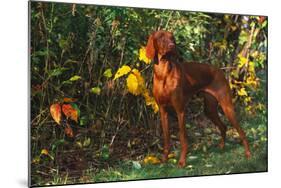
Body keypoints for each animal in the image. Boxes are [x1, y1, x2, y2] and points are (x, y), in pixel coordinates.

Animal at [145, 30, 250, 167]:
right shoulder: (163, 111)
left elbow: (183, 137)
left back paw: (248, 154)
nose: (172, 45)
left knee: (241, 131)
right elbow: (167, 138)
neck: (163, 73)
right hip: (209, 109)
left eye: (172, 38)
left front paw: (182, 161)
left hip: (227, 107)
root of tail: (219, 70)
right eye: (161, 37)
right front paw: (164, 161)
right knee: (223, 126)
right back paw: (222, 147)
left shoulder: (180, 110)